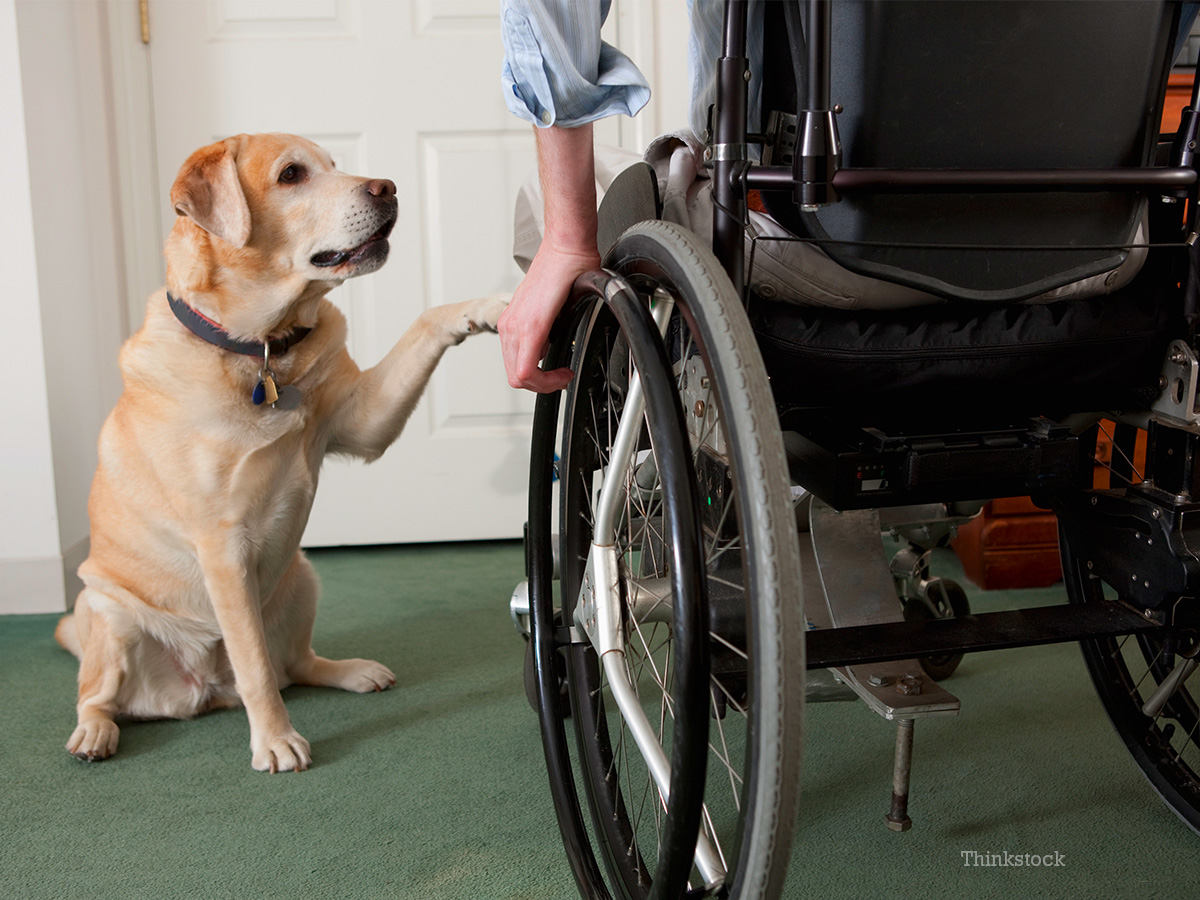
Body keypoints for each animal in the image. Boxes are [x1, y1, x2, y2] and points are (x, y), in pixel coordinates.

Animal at [55, 133, 506, 777]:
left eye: (336, 165)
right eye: (292, 175)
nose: (388, 187)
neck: (263, 350)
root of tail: (204, 692)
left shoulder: (362, 422)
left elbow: (426, 321)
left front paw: (488, 307)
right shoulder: (221, 546)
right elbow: (254, 670)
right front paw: (274, 739)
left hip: (302, 576)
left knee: (295, 664)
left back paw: (352, 672)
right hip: (108, 613)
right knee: (102, 694)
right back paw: (93, 733)